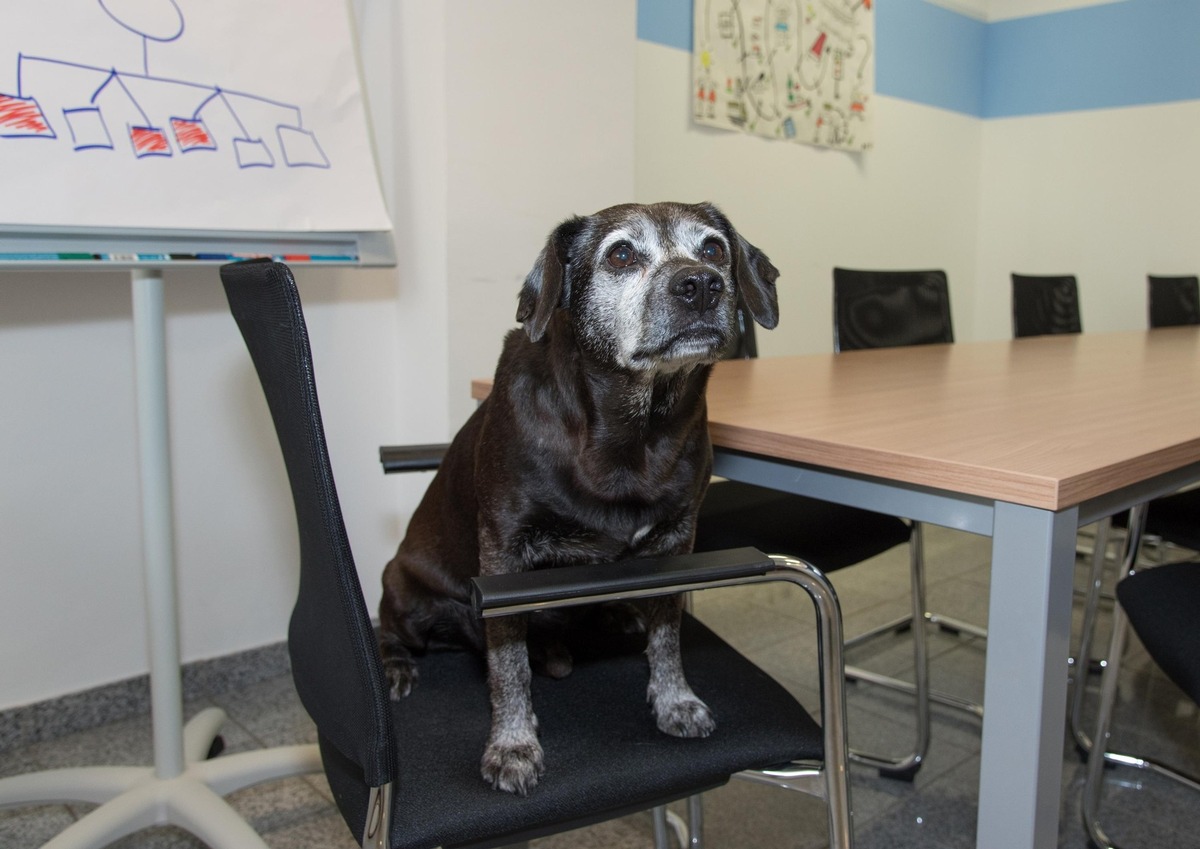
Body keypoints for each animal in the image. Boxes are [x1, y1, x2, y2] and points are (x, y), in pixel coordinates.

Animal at [379, 200, 782, 796]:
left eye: (713, 248)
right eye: (620, 254)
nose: (701, 285)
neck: (631, 432)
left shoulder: (678, 543)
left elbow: (668, 635)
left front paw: (674, 700)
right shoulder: (503, 559)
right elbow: (508, 666)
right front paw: (513, 745)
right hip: (404, 594)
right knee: (388, 628)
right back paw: (397, 666)